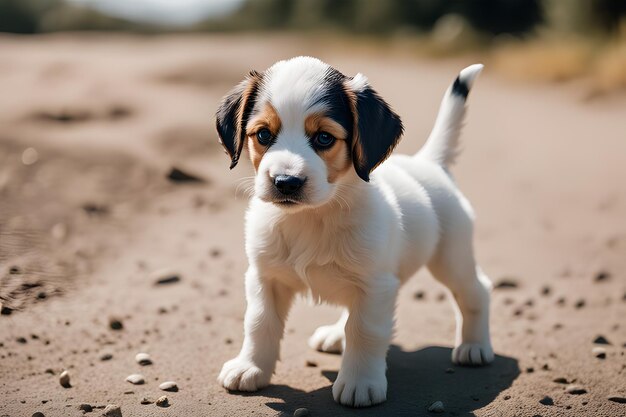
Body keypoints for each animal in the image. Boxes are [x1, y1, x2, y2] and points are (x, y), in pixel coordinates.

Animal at [214, 57, 492, 404]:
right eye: (263, 134)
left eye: (323, 138)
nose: (286, 182)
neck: (313, 217)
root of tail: (430, 163)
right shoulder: (266, 277)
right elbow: (259, 322)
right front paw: (250, 367)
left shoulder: (375, 286)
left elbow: (364, 331)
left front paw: (361, 382)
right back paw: (335, 335)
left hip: (451, 258)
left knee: (477, 289)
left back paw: (474, 345)